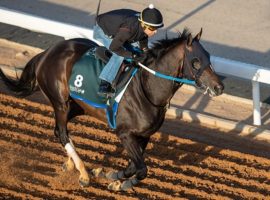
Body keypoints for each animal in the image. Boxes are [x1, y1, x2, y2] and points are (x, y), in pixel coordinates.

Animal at [0, 27, 224, 191]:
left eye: (209, 57)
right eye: (196, 62)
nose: (219, 87)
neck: (147, 89)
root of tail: (47, 53)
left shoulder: (143, 135)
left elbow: (134, 166)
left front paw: (113, 177)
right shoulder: (124, 134)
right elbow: (142, 169)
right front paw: (119, 181)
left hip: (78, 106)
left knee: (58, 131)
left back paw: (71, 165)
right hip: (60, 102)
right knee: (63, 133)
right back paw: (83, 173)